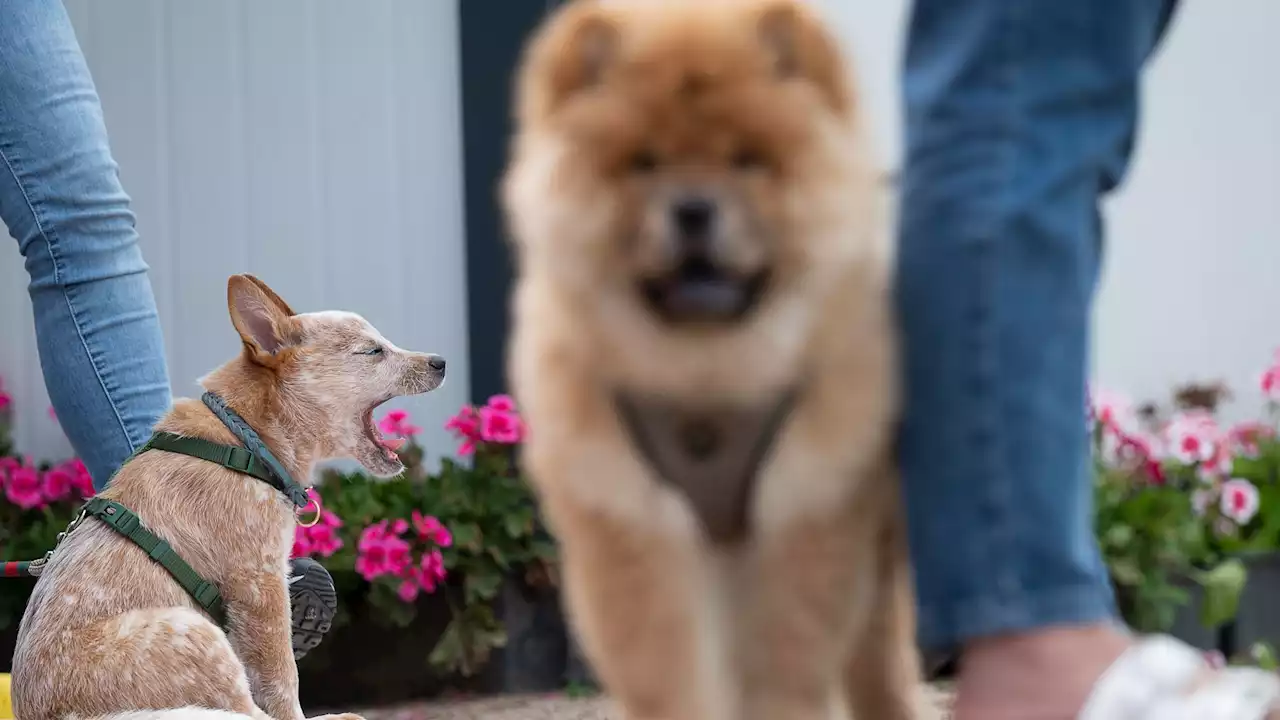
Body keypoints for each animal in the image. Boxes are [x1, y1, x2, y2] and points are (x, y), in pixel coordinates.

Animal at [11, 274, 445, 717]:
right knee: (245, 711)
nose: (441, 362)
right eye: (373, 350)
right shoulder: (260, 581)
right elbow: (282, 678)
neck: (247, 438)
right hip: (194, 631)